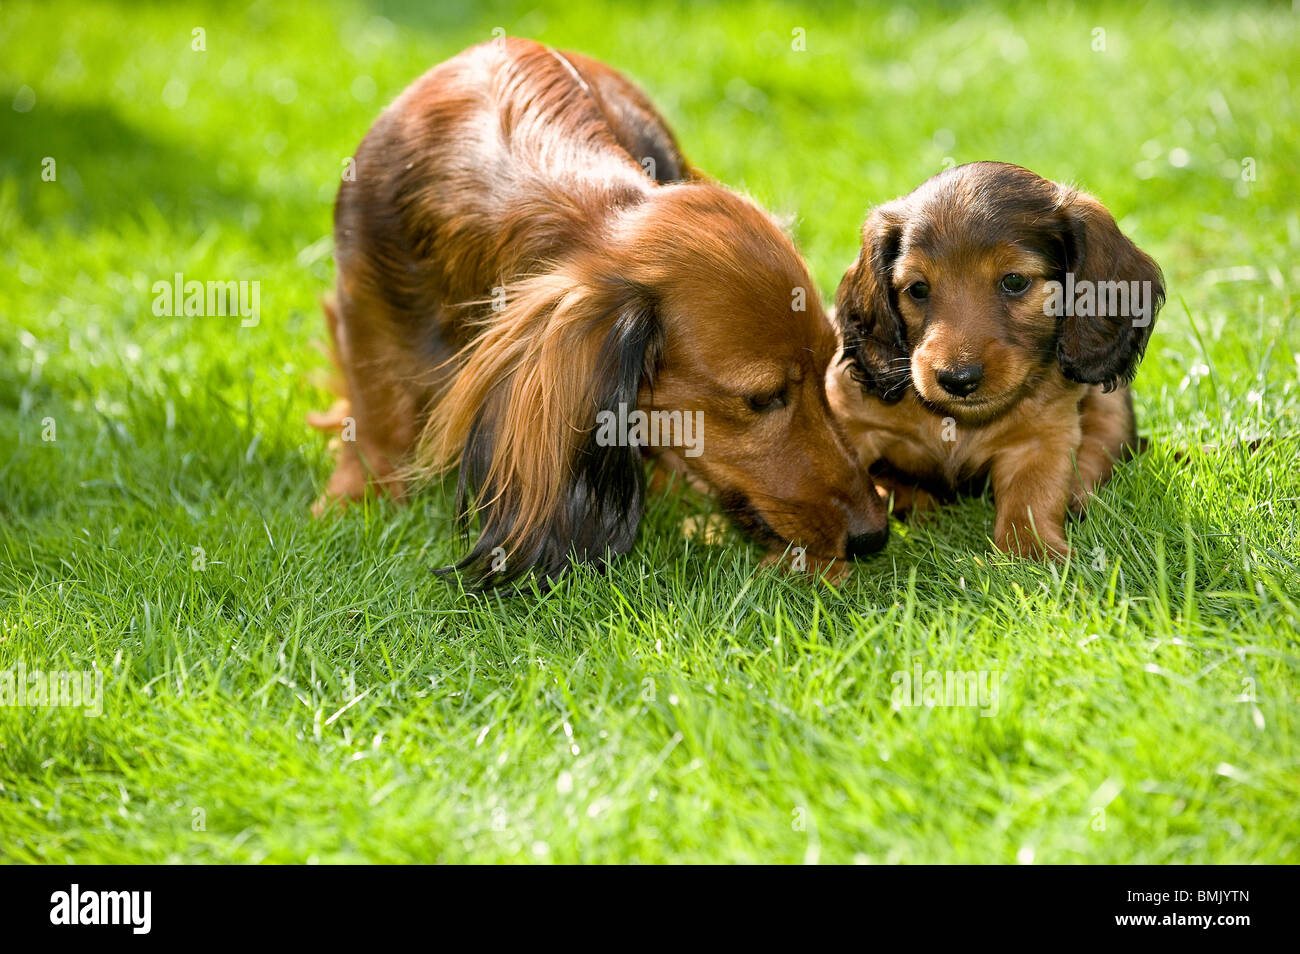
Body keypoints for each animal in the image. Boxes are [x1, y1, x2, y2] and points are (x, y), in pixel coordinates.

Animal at [309, 37, 889, 587]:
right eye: (762, 399)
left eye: (827, 371)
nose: (875, 536)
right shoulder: (361, 310)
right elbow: (375, 419)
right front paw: (354, 496)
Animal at [832, 162, 1170, 561]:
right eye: (917, 288)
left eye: (1014, 281)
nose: (957, 380)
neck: (959, 423)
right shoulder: (851, 420)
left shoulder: (1040, 440)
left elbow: (1032, 499)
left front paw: (1034, 554)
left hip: (1110, 404)